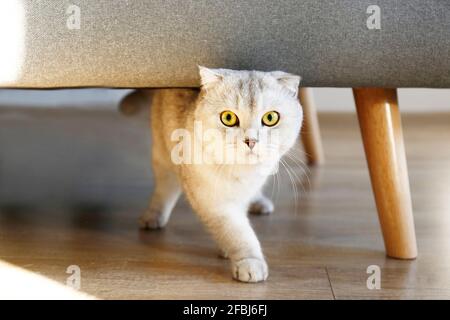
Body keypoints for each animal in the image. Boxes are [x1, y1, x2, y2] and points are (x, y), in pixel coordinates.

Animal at [141, 67, 302, 282]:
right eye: (228, 118)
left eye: (270, 118)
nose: (251, 141)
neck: (243, 174)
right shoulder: (214, 201)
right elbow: (236, 231)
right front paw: (249, 262)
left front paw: (228, 250)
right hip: (163, 155)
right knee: (164, 189)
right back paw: (153, 217)